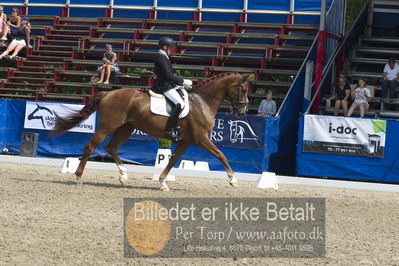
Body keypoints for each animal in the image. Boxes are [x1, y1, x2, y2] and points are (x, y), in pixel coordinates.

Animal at [51, 71, 248, 190]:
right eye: (243, 89)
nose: (243, 111)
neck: (203, 102)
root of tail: (107, 93)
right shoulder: (200, 139)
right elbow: (221, 154)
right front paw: (233, 179)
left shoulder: (187, 141)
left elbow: (172, 160)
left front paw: (163, 182)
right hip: (108, 126)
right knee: (90, 146)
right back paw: (78, 177)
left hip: (127, 128)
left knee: (111, 148)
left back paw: (123, 176)